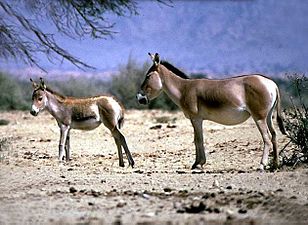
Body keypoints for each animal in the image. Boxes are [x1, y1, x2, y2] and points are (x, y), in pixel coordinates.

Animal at [137, 53, 286, 171]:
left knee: (266, 138)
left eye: (148, 76)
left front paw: (198, 164)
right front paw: (197, 163)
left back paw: (262, 165)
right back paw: (275, 165)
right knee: (274, 135)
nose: (139, 98)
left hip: (259, 117)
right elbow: (197, 139)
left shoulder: (195, 118)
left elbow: (198, 139)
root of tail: (272, 83)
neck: (183, 89)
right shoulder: (197, 119)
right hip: (268, 116)